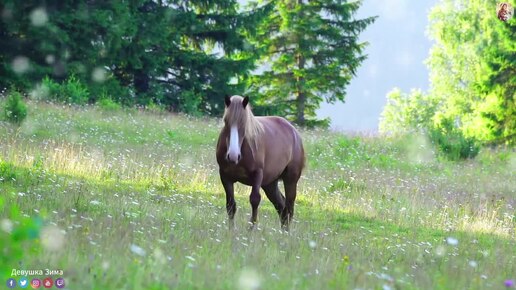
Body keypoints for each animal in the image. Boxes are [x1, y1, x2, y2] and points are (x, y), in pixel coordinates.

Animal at [215, 96, 304, 230]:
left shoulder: (257, 175)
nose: (233, 155)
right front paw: (231, 231)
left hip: (290, 180)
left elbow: (255, 200)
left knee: (289, 207)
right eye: (226, 121)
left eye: (244, 123)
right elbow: (230, 205)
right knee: (281, 206)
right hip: (270, 184)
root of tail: (294, 132)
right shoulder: (225, 176)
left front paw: (250, 230)